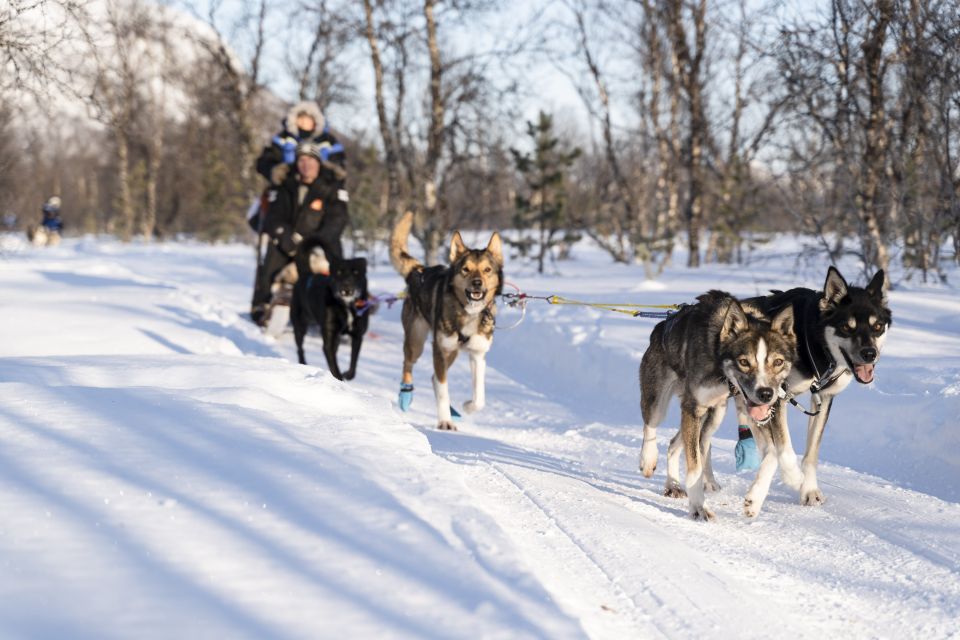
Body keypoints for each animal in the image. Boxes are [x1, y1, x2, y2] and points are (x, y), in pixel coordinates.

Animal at [288, 238, 368, 382]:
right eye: (339, 272)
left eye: (356, 272)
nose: (346, 286)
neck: (346, 306)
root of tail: (307, 274)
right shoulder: (329, 336)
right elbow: (334, 364)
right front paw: (339, 379)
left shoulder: (358, 335)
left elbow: (353, 362)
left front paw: (347, 374)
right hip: (300, 325)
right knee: (300, 347)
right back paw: (303, 362)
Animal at [390, 210, 506, 430]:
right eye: (465, 269)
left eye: (487, 270)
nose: (477, 283)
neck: (468, 312)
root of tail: (418, 270)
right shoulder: (440, 350)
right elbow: (443, 390)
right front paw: (444, 421)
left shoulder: (477, 354)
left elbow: (479, 398)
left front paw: (468, 406)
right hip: (418, 342)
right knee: (409, 364)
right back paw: (405, 396)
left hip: (451, 353)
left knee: (434, 377)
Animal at [640, 292, 800, 524]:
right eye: (744, 362)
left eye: (778, 362)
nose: (766, 394)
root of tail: (660, 326)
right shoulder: (693, 408)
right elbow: (694, 467)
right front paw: (699, 507)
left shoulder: (750, 410)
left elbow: (772, 453)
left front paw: (755, 500)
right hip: (660, 402)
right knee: (651, 426)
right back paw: (648, 459)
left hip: (714, 414)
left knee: (679, 443)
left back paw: (674, 484)